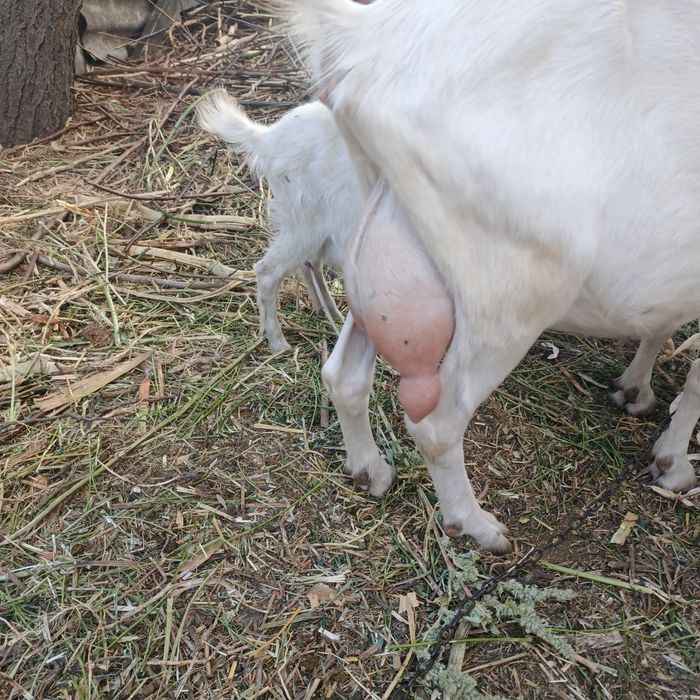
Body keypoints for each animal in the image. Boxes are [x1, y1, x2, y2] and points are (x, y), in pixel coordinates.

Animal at [196, 90, 361, 352]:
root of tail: (267, 138)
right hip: (303, 222)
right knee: (269, 270)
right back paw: (277, 342)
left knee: (309, 263)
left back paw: (330, 312)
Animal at [276, 0, 700, 552]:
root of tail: (368, 38)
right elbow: (698, 379)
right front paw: (674, 463)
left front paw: (635, 390)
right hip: (509, 294)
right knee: (437, 424)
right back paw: (475, 524)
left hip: (384, 247)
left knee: (343, 373)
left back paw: (370, 471)